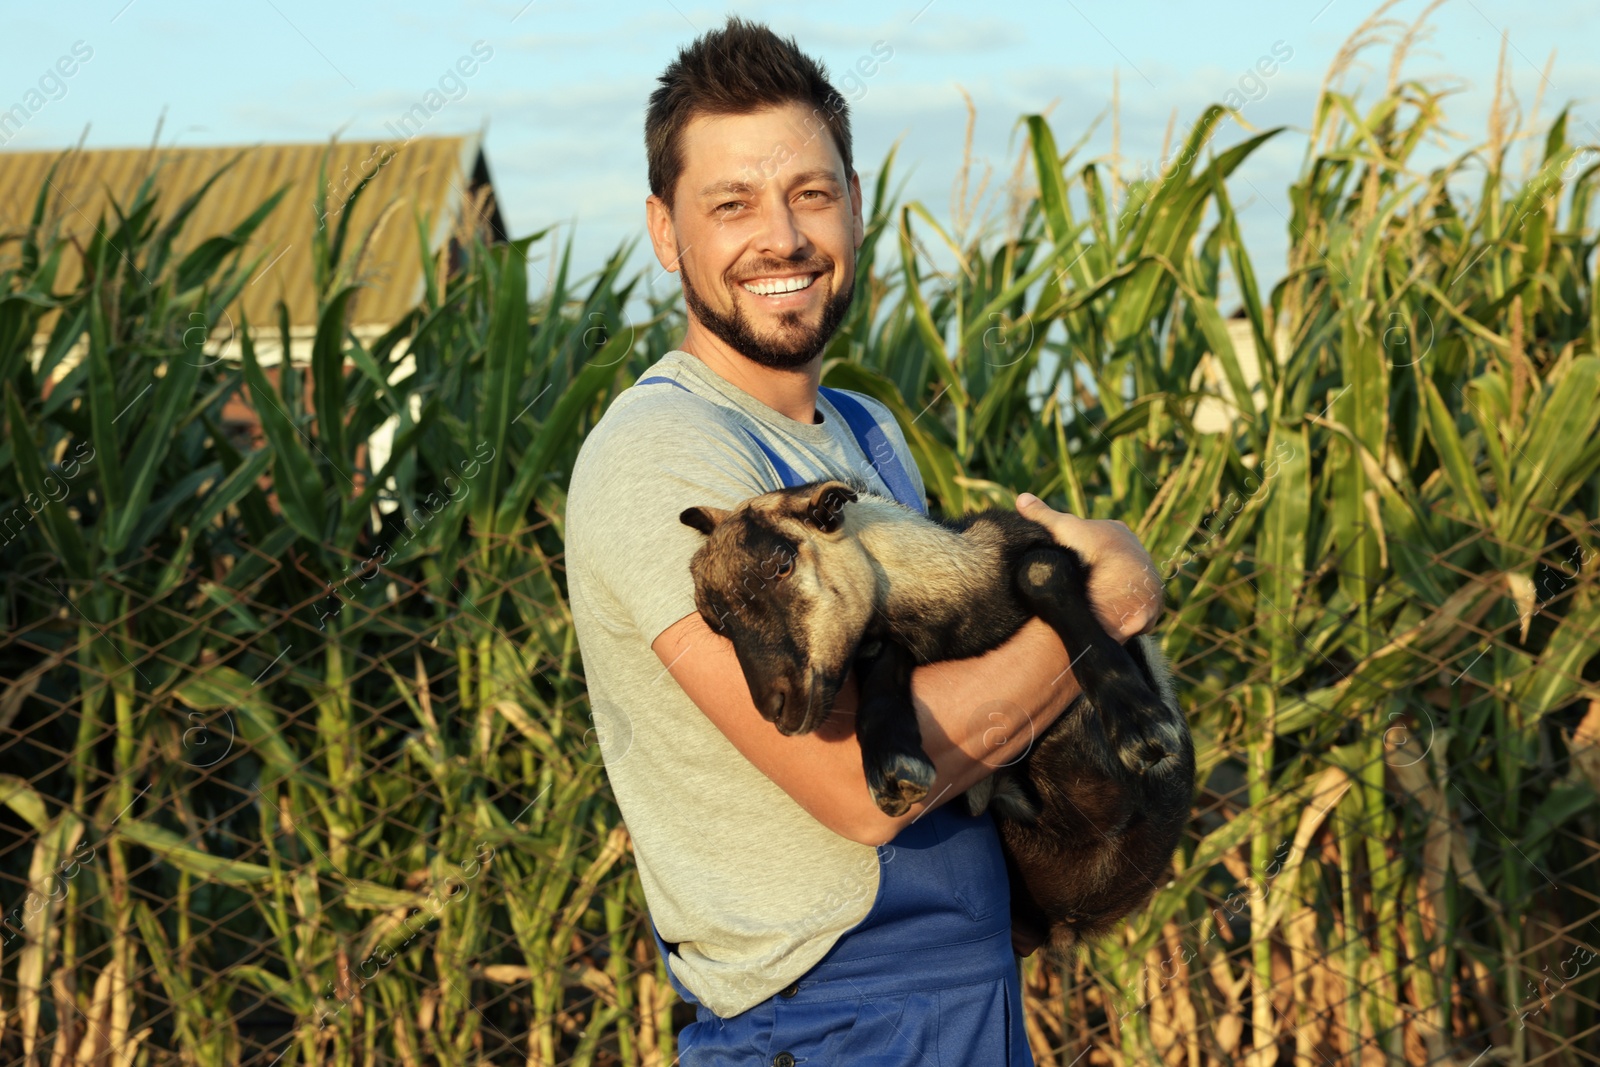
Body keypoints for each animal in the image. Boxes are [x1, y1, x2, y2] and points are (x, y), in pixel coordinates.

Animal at [681, 476, 1196, 953]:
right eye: (713, 622)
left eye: (783, 565)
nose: (774, 708)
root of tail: (1066, 926)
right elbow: (882, 661)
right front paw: (893, 764)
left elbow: (1039, 572)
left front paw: (1139, 724)